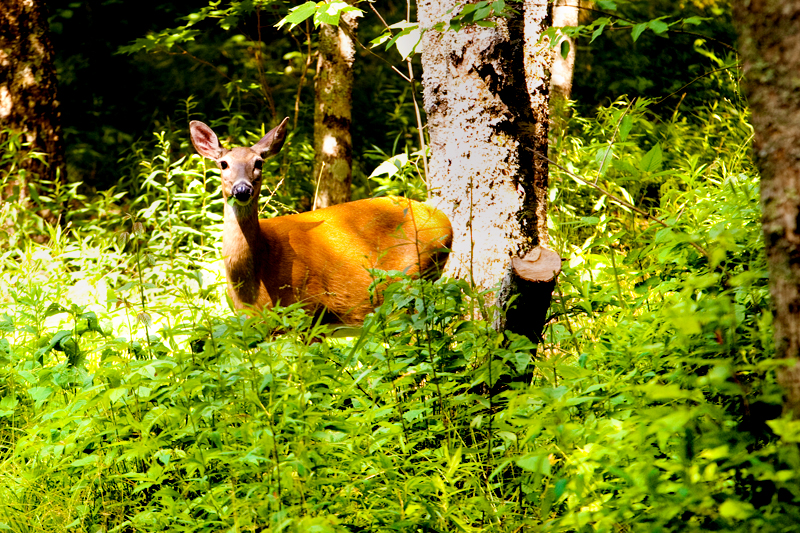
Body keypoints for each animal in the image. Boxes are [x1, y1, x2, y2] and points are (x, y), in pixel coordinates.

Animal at [188, 116, 450, 324]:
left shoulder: (310, 308)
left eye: (258, 163)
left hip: (410, 280)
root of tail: (446, 222)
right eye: (223, 164)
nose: (242, 189)